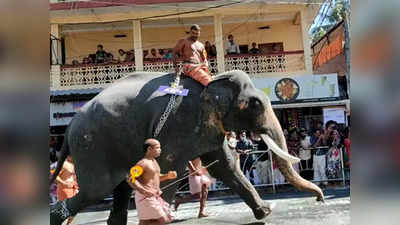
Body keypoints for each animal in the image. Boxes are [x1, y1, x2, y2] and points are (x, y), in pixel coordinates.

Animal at [50, 70, 324, 225]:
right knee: (95, 191)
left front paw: (264, 213)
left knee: (119, 189)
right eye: (256, 104)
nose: (320, 199)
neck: (211, 81)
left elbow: (226, 167)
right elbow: (170, 167)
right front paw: (164, 219)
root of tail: (70, 125)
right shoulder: (178, 123)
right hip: (92, 146)